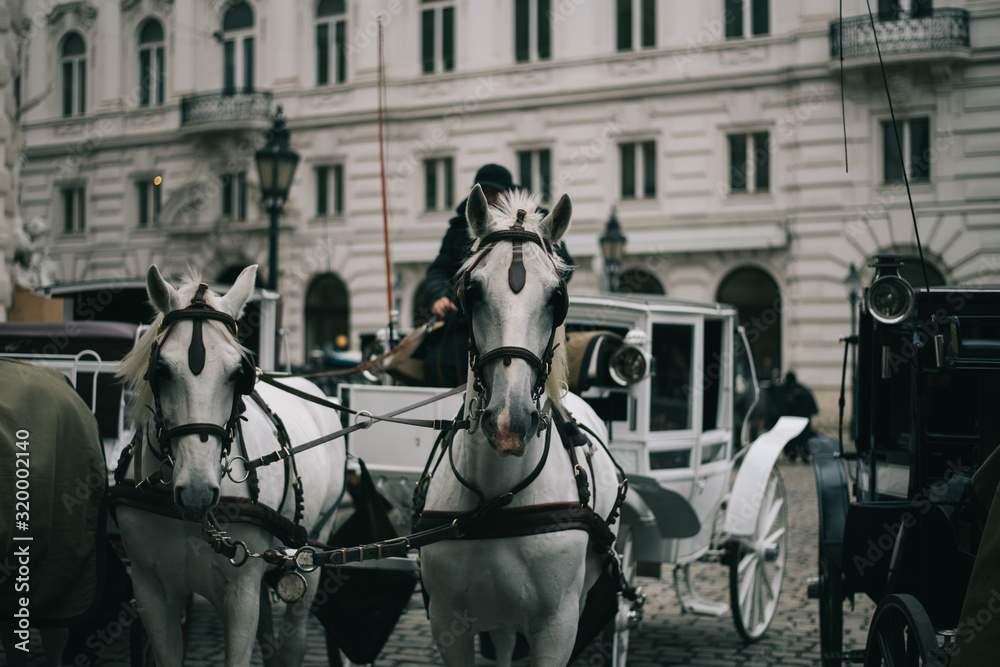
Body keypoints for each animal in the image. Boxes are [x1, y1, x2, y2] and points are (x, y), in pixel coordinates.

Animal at [115, 265, 346, 667]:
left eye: (239, 373)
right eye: (161, 369)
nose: (196, 492)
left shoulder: (242, 594)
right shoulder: (149, 592)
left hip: (313, 548)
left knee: (293, 642)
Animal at [419, 186, 622, 666]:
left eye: (557, 297)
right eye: (471, 292)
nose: (508, 423)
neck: (497, 500)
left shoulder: (557, 628)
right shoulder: (448, 624)